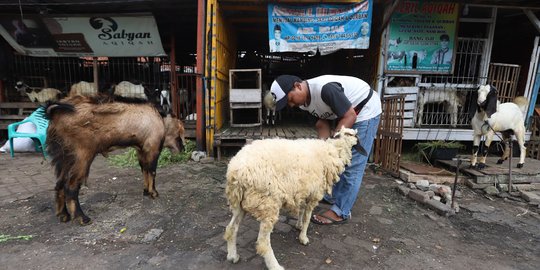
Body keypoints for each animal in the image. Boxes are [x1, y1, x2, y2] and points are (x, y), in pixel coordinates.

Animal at [44, 95, 188, 226]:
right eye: (180, 133)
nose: (183, 149)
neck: (160, 118)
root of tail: (54, 112)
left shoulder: (141, 149)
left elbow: (144, 170)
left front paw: (146, 192)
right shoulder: (152, 147)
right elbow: (152, 171)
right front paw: (154, 193)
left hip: (64, 157)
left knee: (60, 183)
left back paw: (63, 215)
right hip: (82, 155)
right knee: (71, 185)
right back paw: (82, 218)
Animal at [224, 126, 358, 270]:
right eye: (352, 134)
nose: (358, 140)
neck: (332, 151)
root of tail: (236, 171)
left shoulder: (304, 191)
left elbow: (301, 210)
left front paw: (299, 225)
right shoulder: (314, 195)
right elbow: (307, 218)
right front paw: (303, 237)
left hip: (239, 203)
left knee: (231, 229)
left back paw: (232, 256)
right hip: (267, 204)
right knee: (263, 243)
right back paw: (275, 265)